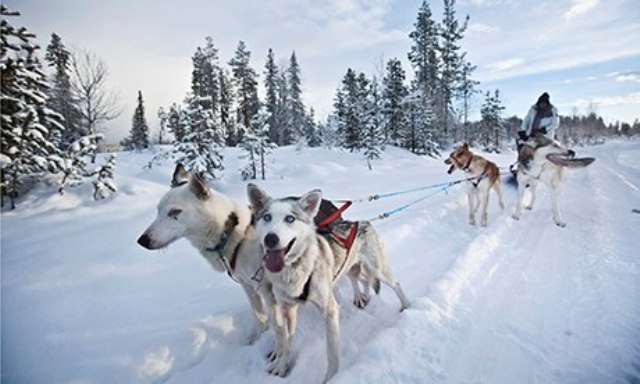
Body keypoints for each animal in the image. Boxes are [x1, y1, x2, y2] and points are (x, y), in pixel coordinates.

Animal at [138, 164, 270, 344]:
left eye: (175, 212)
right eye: (158, 211)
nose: (142, 240)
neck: (232, 233)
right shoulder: (248, 285)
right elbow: (259, 318)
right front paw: (257, 340)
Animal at [248, 184, 408, 382]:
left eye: (290, 218)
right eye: (267, 217)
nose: (270, 239)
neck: (295, 269)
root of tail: (361, 222)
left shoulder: (330, 311)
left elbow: (332, 353)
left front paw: (331, 377)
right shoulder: (288, 310)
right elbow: (287, 341)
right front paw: (282, 366)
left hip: (379, 269)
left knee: (395, 284)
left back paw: (407, 307)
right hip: (351, 269)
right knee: (362, 280)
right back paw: (361, 296)